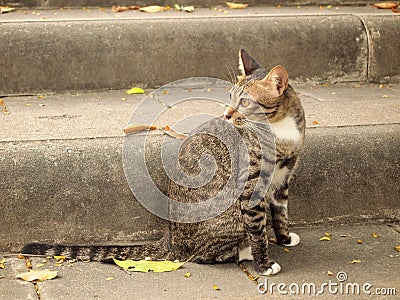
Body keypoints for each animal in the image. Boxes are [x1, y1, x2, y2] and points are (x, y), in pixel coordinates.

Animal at [22, 48, 306, 274]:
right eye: (230, 97)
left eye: (245, 101)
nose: (226, 114)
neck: (281, 129)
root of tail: (170, 238)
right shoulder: (251, 187)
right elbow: (258, 229)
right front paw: (264, 264)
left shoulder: (284, 177)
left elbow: (281, 211)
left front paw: (283, 238)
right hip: (228, 213)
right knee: (203, 255)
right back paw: (241, 252)